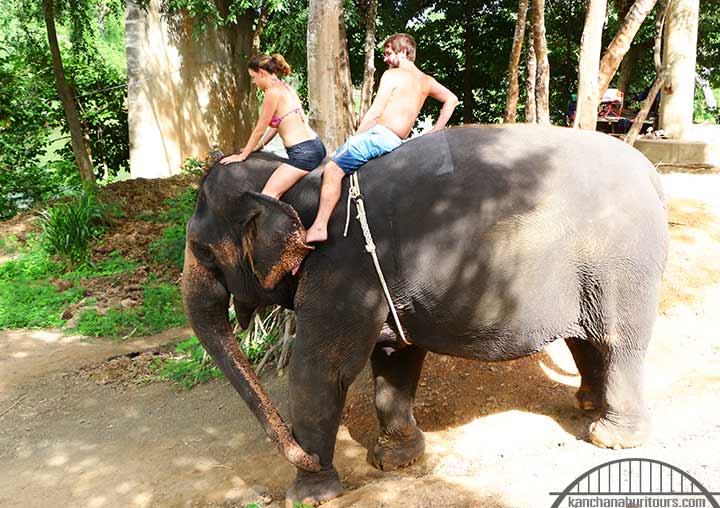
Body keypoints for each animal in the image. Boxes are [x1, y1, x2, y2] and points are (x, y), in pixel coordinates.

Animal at [181, 125, 668, 506]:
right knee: (586, 340)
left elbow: (320, 370)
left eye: (202, 251)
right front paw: (395, 461)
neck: (299, 184)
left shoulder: (341, 266)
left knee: (619, 344)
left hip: (623, 266)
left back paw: (611, 437)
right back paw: (587, 405)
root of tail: (651, 171)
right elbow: (394, 357)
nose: (307, 457)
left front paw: (310, 495)